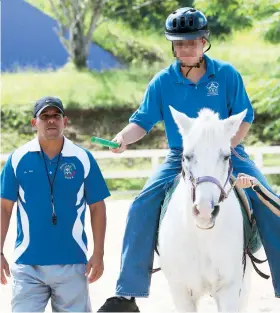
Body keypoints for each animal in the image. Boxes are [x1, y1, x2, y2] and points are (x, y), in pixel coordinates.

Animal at [159, 106, 253, 310]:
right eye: (187, 156)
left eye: (226, 156)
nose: (204, 211)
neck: (201, 236)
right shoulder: (181, 291)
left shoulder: (229, 289)